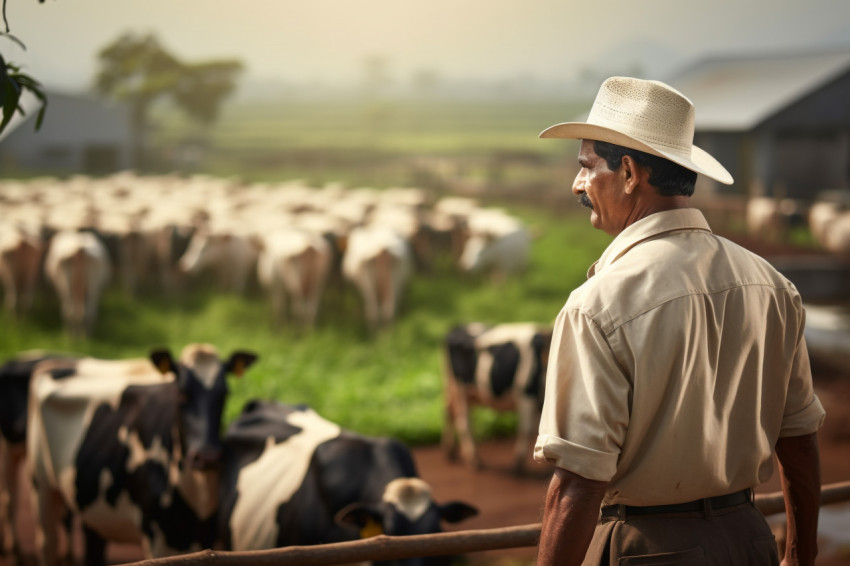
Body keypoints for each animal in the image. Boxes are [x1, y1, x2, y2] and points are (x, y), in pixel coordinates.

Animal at [28, 346, 256, 566]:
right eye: (181, 393)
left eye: (224, 395)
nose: (207, 457)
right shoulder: (155, 537)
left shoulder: (206, 538)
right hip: (43, 487)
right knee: (47, 544)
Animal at [440, 324, 552, 474]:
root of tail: (457, 328)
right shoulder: (526, 394)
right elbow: (526, 429)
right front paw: (518, 464)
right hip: (460, 387)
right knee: (464, 422)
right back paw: (474, 460)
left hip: (459, 389)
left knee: (449, 411)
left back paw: (450, 452)